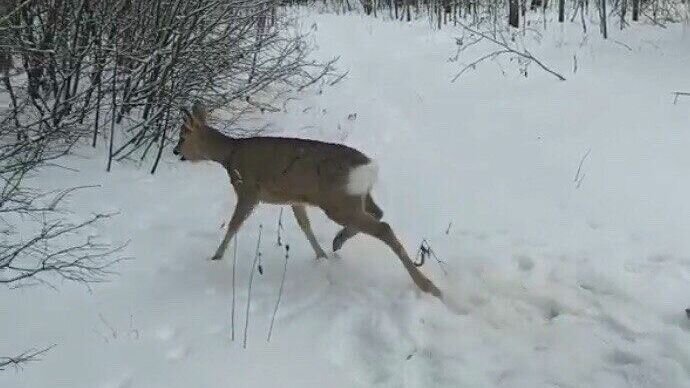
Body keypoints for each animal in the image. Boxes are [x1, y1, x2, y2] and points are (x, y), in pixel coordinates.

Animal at [173, 103, 440, 298]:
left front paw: (216, 257)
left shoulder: (248, 190)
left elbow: (233, 225)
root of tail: (368, 167)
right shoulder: (295, 198)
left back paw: (430, 287)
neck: (229, 156)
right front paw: (321, 256)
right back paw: (337, 241)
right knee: (379, 213)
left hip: (338, 201)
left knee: (383, 227)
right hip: (357, 197)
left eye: (183, 135)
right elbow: (304, 225)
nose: (176, 151)